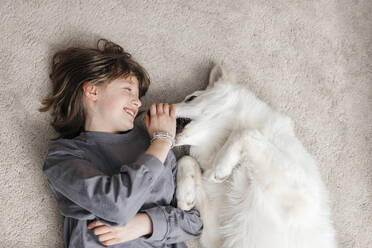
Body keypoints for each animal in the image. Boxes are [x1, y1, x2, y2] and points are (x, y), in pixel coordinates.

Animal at [174, 65, 338, 248]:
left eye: (191, 98)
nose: (159, 106)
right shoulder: (216, 236)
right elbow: (186, 159)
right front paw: (186, 195)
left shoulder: (299, 189)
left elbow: (245, 132)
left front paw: (220, 168)